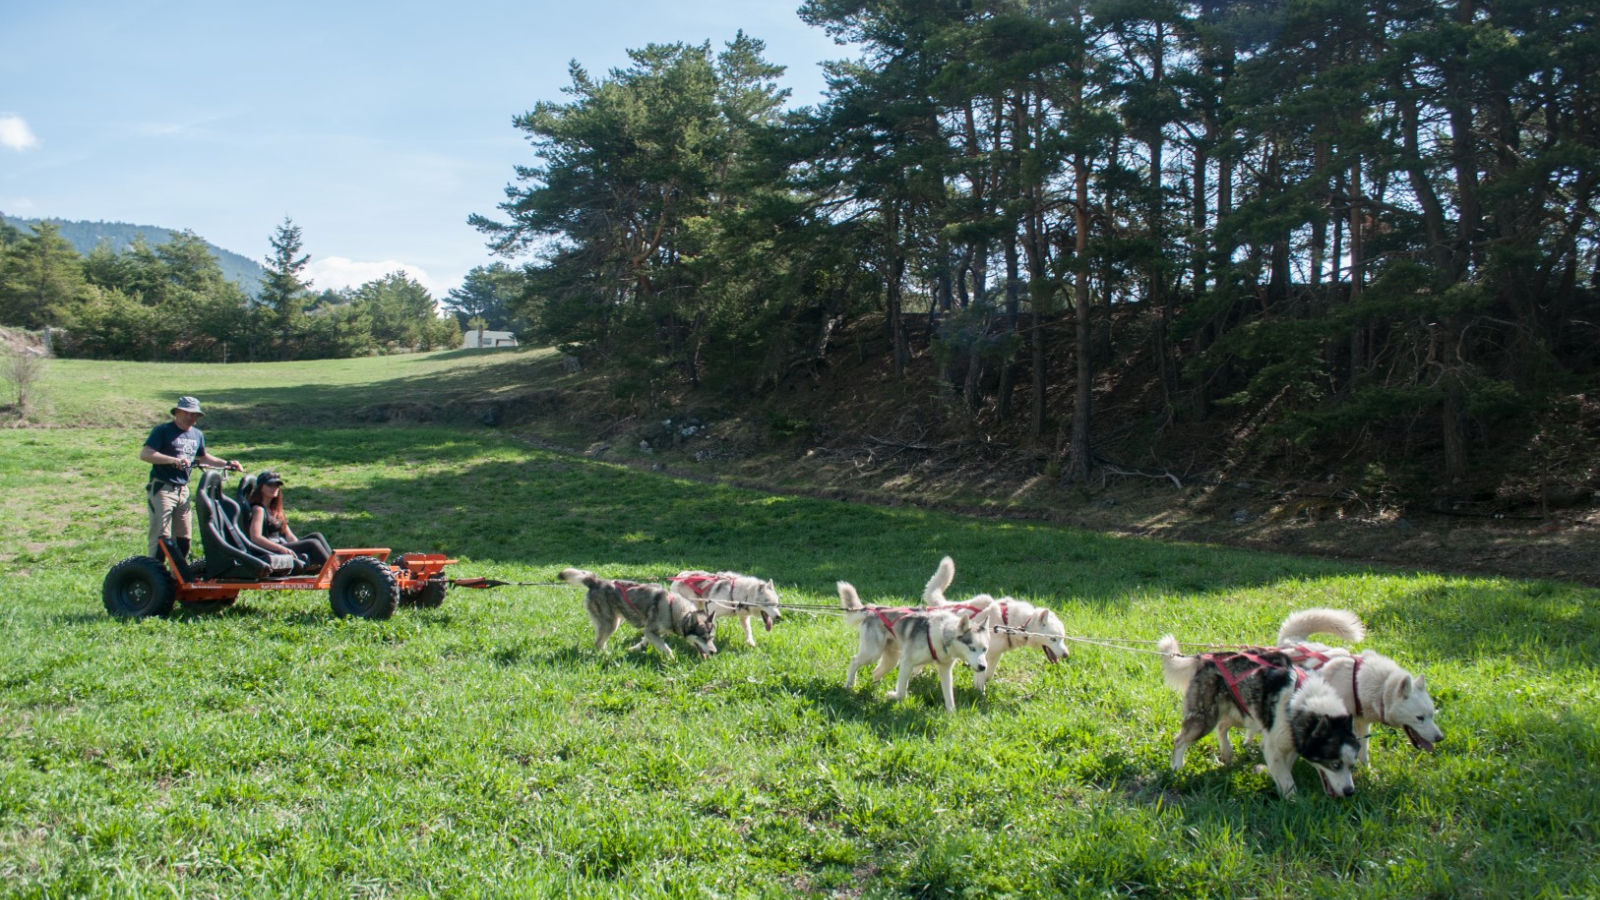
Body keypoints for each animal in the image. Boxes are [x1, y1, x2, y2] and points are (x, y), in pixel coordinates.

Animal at [560, 566, 716, 659]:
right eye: (703, 638)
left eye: (712, 638)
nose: (714, 652)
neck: (673, 610)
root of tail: (596, 581)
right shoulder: (650, 630)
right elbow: (666, 648)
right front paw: (672, 660)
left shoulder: (649, 631)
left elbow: (645, 641)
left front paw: (634, 649)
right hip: (611, 624)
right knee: (598, 643)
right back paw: (607, 656)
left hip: (616, 621)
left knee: (599, 642)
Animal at [838, 576, 985, 711]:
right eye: (971, 648)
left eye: (984, 649)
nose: (983, 667)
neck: (942, 633)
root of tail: (871, 609)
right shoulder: (906, 662)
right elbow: (902, 692)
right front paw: (893, 695)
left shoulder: (945, 669)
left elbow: (949, 696)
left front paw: (951, 714)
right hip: (873, 654)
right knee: (854, 661)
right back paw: (850, 685)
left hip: (892, 660)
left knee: (875, 672)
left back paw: (874, 690)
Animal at [921, 550, 1068, 688]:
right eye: (1053, 639)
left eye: (1062, 638)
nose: (1067, 655)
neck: (1010, 623)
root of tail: (945, 605)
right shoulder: (981, 653)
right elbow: (980, 679)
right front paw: (978, 693)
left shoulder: (996, 654)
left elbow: (989, 673)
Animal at [1158, 634, 1356, 794]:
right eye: (1335, 764)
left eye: (1351, 766)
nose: (1349, 792)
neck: (1303, 699)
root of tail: (1206, 660)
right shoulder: (1274, 743)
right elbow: (1286, 778)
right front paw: (1293, 800)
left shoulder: (1291, 741)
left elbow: (1285, 767)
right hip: (1204, 719)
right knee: (1180, 739)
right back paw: (1177, 766)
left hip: (1242, 713)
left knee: (1222, 726)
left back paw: (1227, 753)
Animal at [1273, 605, 1452, 759]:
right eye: (1419, 717)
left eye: (1432, 715)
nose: (1440, 738)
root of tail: (1291, 640)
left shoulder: (1363, 724)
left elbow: (1363, 753)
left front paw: (1367, 772)